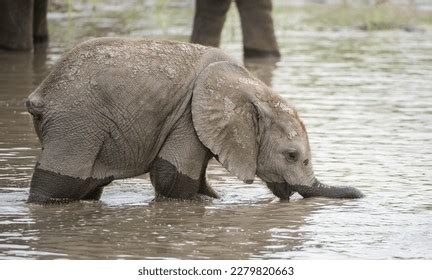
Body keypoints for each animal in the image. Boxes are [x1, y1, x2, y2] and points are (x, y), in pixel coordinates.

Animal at [26, 37, 364, 203]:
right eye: (292, 156)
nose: (360, 194)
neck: (250, 87)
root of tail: (40, 94)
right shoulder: (188, 115)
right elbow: (173, 176)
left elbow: (193, 178)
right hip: (76, 124)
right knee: (59, 184)